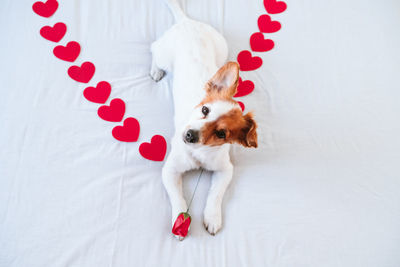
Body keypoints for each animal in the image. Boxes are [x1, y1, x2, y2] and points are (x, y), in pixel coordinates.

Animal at [151, 0, 260, 239]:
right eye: (204, 109)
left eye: (221, 134)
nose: (189, 135)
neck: (200, 154)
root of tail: (187, 22)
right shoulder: (170, 171)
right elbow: (178, 198)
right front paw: (179, 220)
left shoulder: (224, 170)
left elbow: (215, 194)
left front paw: (212, 217)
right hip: (165, 54)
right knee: (154, 49)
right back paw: (155, 69)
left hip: (222, 48)